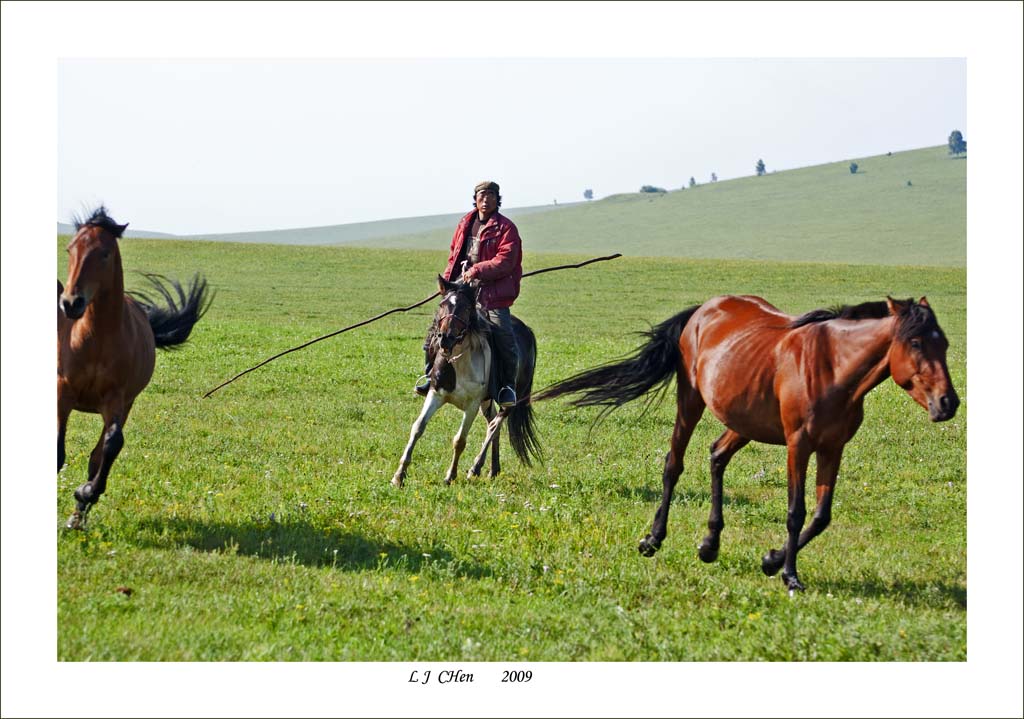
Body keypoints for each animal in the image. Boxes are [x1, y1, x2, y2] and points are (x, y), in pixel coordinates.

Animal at [58, 208, 211, 528]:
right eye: (70, 249)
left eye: (104, 253)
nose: (71, 303)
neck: (95, 338)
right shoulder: (61, 392)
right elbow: (57, 452)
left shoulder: (117, 399)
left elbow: (111, 445)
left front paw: (85, 492)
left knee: (98, 454)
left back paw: (78, 515)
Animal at [389, 276, 544, 489]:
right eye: (442, 304)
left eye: (465, 308)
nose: (445, 338)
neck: (459, 361)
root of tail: (527, 331)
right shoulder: (436, 394)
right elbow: (418, 427)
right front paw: (399, 475)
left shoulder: (472, 404)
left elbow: (460, 440)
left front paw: (450, 476)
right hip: (487, 401)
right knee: (492, 424)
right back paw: (492, 469)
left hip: (512, 398)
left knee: (495, 424)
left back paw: (475, 468)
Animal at [536, 294, 958, 594]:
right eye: (915, 342)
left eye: (946, 344)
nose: (948, 403)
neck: (833, 367)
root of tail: (703, 309)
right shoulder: (798, 446)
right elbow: (796, 512)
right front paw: (789, 574)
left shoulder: (832, 448)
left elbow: (821, 516)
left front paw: (771, 560)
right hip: (691, 401)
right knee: (674, 464)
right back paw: (653, 539)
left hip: (744, 420)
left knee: (717, 456)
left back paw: (710, 544)